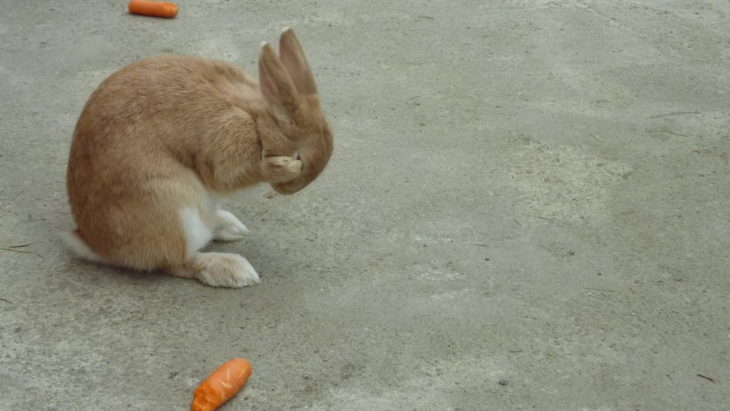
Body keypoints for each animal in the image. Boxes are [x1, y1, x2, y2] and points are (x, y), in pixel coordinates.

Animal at [63, 28, 333, 288]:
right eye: (299, 156)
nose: (289, 190)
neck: (254, 117)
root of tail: (92, 244)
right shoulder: (225, 142)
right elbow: (227, 176)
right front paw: (284, 168)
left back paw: (230, 226)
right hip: (174, 208)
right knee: (175, 261)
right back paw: (234, 270)